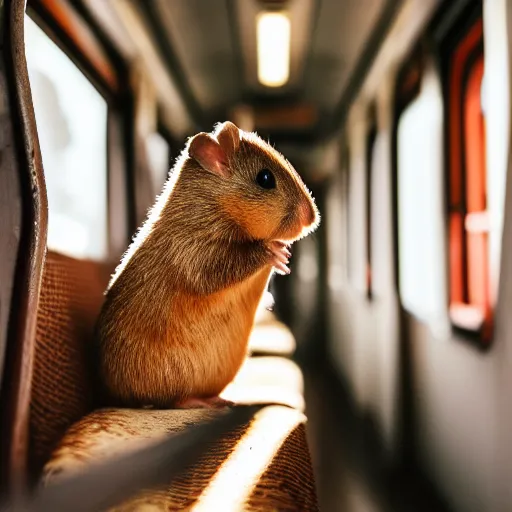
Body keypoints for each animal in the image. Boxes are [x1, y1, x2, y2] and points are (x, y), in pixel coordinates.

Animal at [95, 121, 318, 408]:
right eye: (265, 179)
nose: (312, 218)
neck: (213, 205)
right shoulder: (195, 255)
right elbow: (234, 261)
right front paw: (274, 251)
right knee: (169, 400)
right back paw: (194, 401)